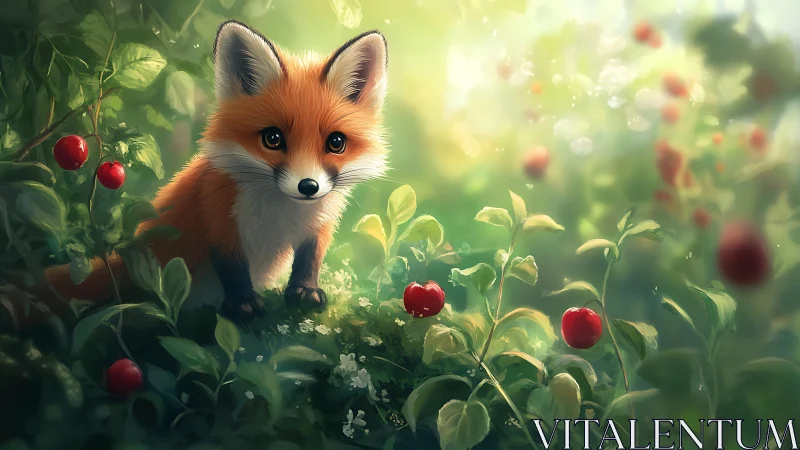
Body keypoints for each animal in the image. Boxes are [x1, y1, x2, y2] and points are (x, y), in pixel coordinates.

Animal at [20, 21, 389, 326]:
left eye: (336, 143)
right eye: (272, 139)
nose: (308, 186)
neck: (282, 213)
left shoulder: (319, 224)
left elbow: (309, 258)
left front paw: (304, 292)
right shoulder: (219, 217)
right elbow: (233, 267)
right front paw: (242, 304)